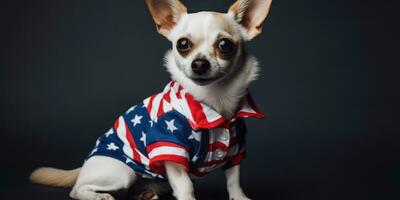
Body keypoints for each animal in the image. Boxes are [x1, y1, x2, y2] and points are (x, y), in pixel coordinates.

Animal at [30, 0, 272, 200]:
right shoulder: (170, 148)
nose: (199, 63)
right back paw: (99, 196)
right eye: (182, 44)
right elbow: (185, 185)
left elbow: (233, 179)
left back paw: (144, 193)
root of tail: (85, 165)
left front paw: (239, 198)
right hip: (122, 171)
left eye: (224, 45)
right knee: (76, 190)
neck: (213, 99)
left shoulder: (236, 149)